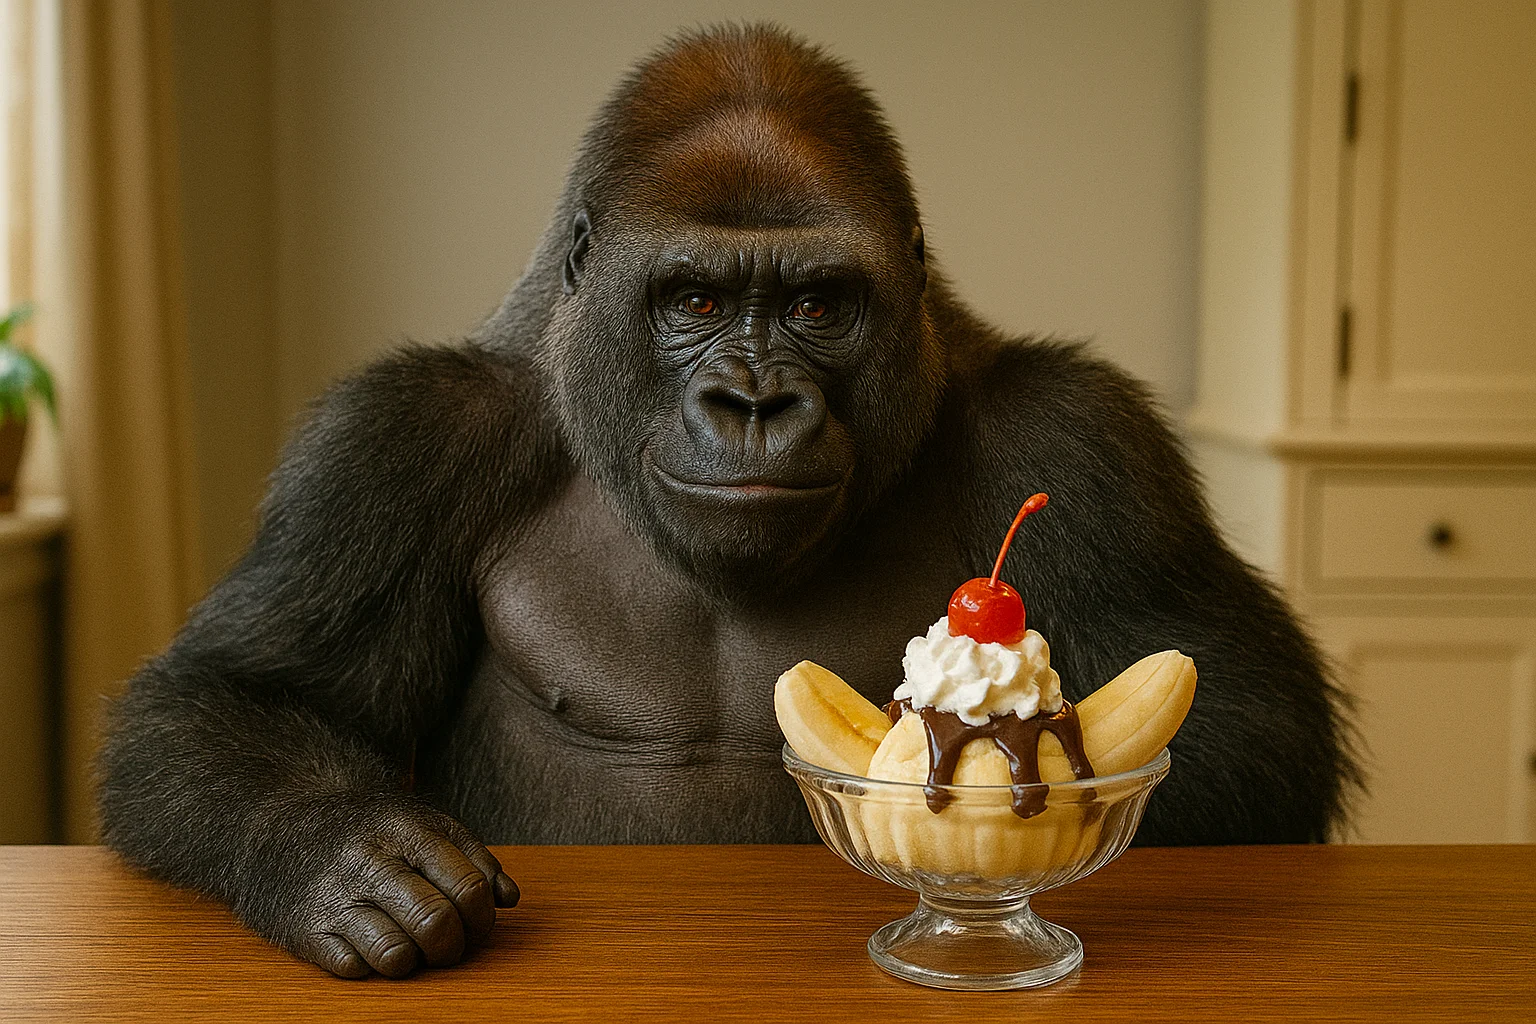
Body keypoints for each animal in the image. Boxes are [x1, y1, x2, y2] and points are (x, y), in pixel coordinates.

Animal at [98, 25, 1357, 979]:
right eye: (695, 298)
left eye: (817, 306)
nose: (753, 400)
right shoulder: (390, 444)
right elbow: (236, 690)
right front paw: (343, 850)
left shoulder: (1082, 439)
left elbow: (1249, 719)